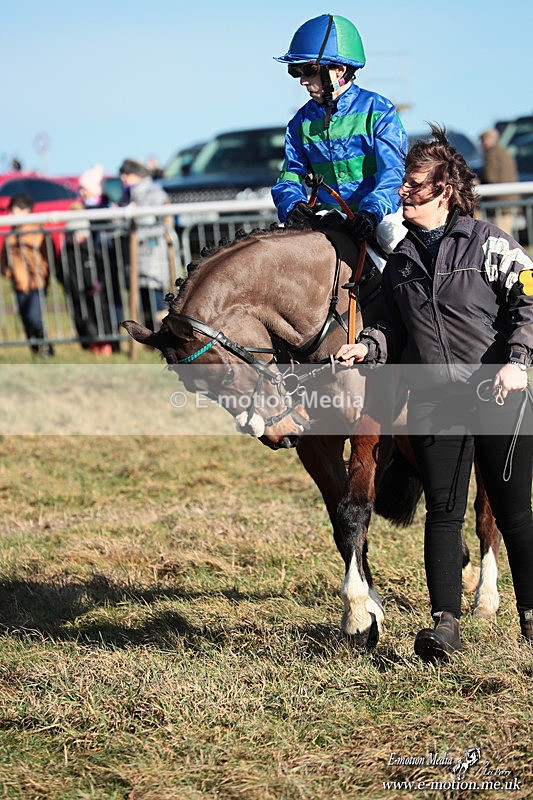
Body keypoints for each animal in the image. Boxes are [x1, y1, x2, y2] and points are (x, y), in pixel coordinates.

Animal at [123, 223, 501, 648]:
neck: (321, 321)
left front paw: (356, 616)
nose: (275, 434)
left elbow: (354, 509)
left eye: (226, 372)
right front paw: (368, 611)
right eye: (197, 390)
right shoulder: (316, 444)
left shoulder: (368, 428)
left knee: (486, 507)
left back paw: (486, 596)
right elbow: (340, 521)